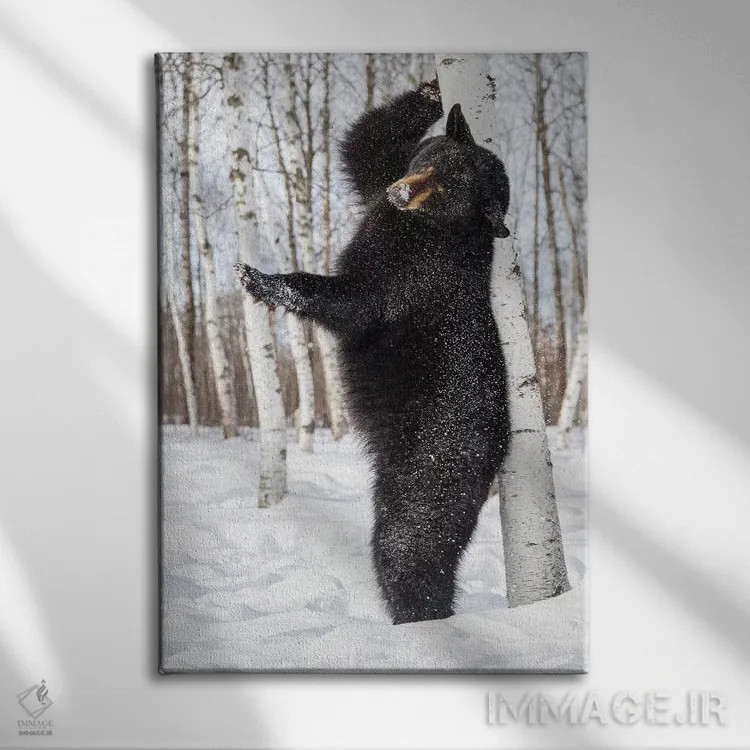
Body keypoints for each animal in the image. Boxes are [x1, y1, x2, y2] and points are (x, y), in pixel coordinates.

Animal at [236, 79, 512, 625]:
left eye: (450, 190)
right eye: (431, 159)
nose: (401, 194)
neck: (424, 228)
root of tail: (497, 454)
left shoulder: (415, 274)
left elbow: (357, 301)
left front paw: (262, 279)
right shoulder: (385, 187)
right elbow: (366, 149)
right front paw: (432, 91)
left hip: (432, 463)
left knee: (410, 544)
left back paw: (419, 623)